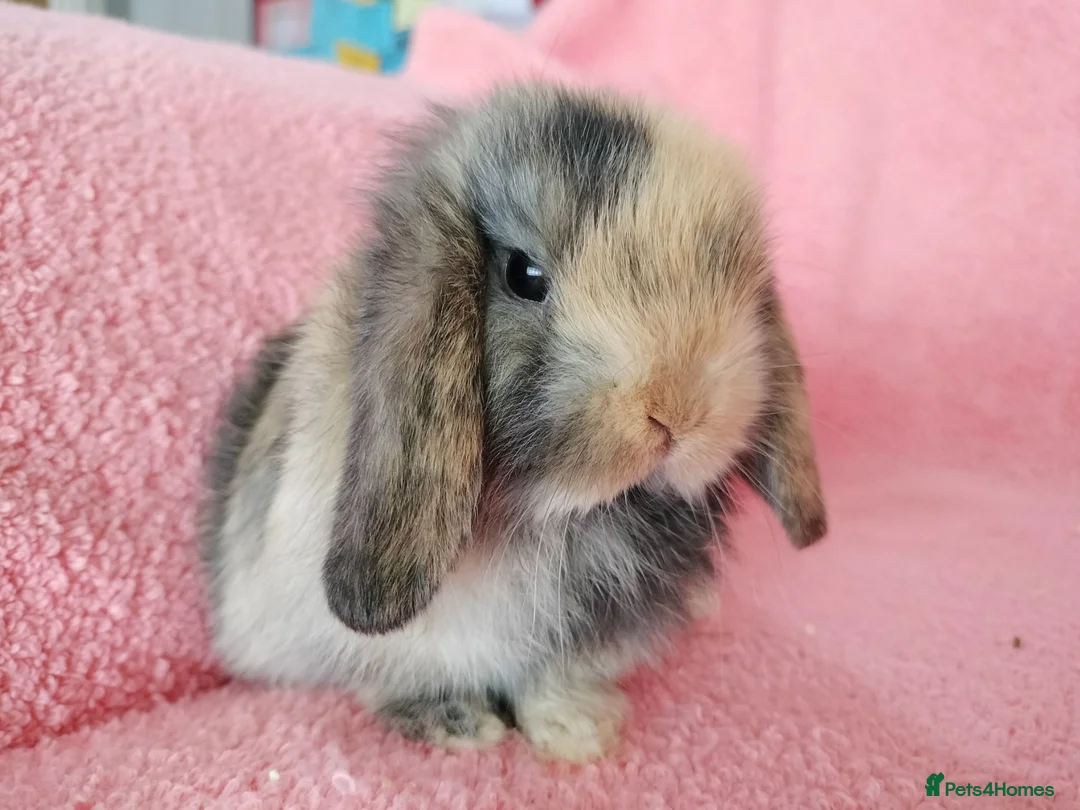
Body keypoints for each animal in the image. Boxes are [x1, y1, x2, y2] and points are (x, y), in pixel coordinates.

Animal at [199, 82, 827, 763]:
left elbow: (554, 678)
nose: (676, 411)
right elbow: (388, 673)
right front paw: (460, 725)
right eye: (523, 275)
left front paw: (581, 733)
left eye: (736, 280)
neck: (563, 517)